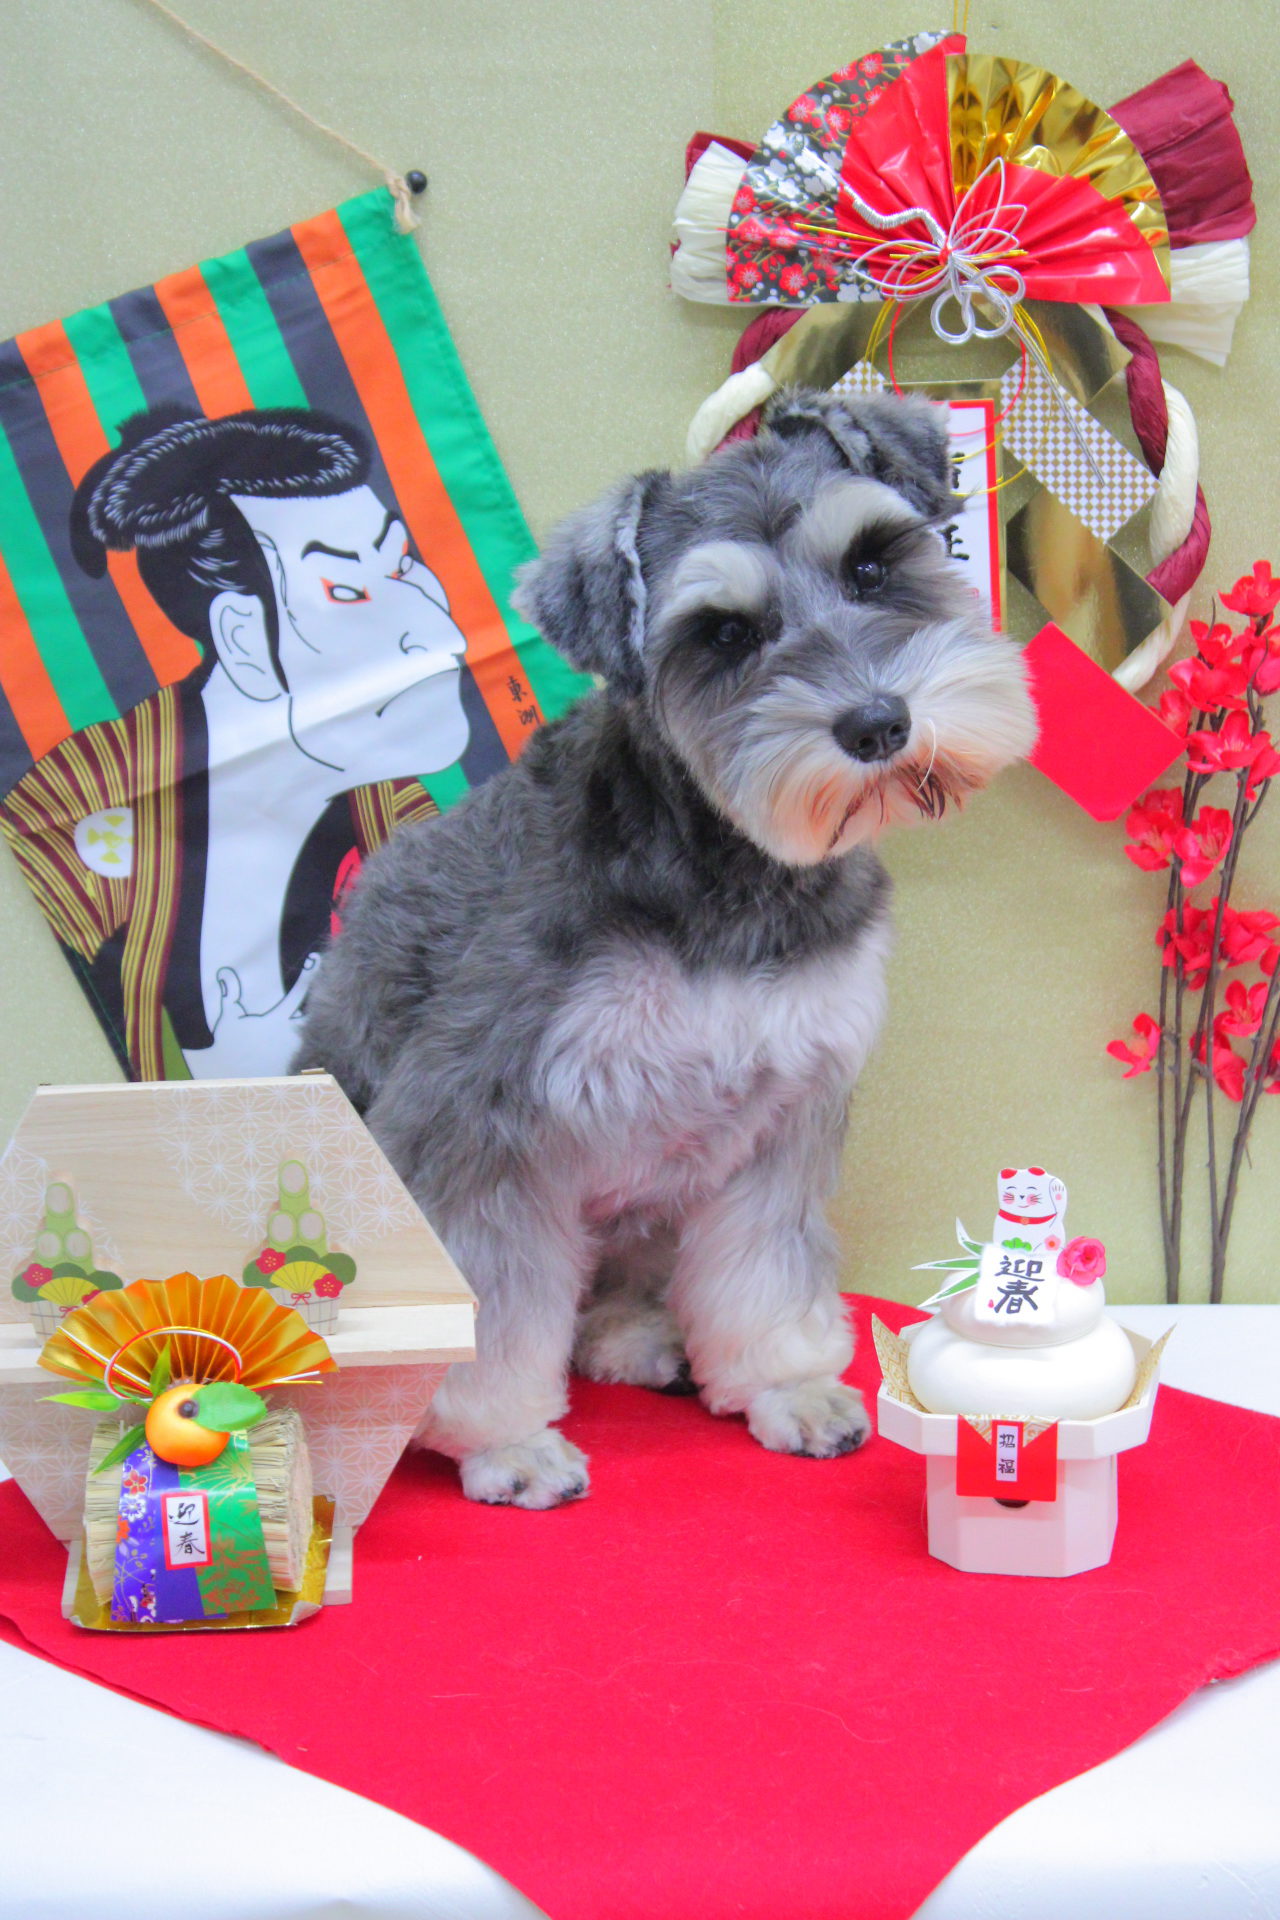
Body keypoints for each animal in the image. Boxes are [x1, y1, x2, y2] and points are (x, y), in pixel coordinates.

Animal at [294, 388, 1037, 1507]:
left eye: (871, 565)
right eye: (723, 633)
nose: (877, 723)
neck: (730, 871)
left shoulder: (786, 1112)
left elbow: (765, 1272)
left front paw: (784, 1386)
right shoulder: (474, 1121)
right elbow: (489, 1308)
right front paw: (502, 1440)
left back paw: (637, 1338)